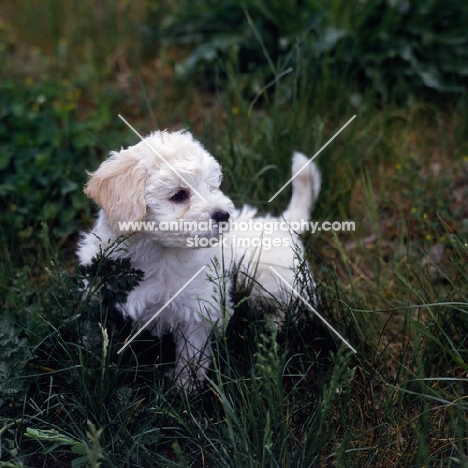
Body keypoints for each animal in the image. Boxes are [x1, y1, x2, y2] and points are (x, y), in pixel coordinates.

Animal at [77, 130, 322, 390]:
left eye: (213, 187)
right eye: (179, 195)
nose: (223, 215)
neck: (157, 251)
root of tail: (281, 224)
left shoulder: (198, 308)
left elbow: (192, 350)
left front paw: (185, 385)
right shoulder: (97, 284)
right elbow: (93, 320)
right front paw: (90, 350)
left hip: (271, 280)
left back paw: (271, 326)